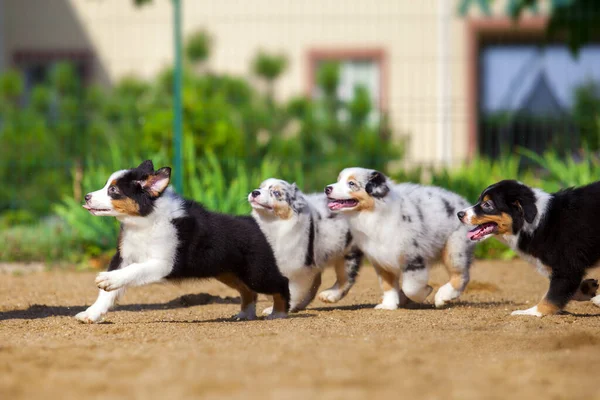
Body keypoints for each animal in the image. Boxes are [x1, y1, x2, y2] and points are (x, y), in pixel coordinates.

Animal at [75, 159, 290, 322]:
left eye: (113, 191)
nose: (86, 197)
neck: (144, 222)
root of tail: (255, 222)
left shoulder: (163, 262)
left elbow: (135, 270)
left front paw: (108, 279)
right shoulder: (123, 256)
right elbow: (108, 293)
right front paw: (91, 314)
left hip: (256, 272)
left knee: (281, 283)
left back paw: (278, 313)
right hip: (228, 272)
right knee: (248, 291)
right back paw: (245, 314)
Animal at [247, 177, 364, 312]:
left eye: (276, 193)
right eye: (260, 187)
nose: (255, 192)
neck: (272, 223)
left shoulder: (297, 269)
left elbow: (292, 291)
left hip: (348, 253)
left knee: (346, 278)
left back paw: (329, 295)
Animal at [326, 168, 476, 310]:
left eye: (351, 183)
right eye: (338, 180)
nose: (327, 188)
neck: (374, 213)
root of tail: (463, 202)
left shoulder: (413, 258)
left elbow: (410, 288)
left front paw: (425, 292)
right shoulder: (379, 259)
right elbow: (387, 285)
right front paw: (388, 305)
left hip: (454, 248)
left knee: (461, 276)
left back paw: (442, 297)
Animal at [458, 180, 596, 318]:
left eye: (487, 204)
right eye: (479, 200)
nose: (459, 214)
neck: (537, 222)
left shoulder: (567, 268)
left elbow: (552, 296)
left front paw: (529, 312)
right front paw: (589, 289)